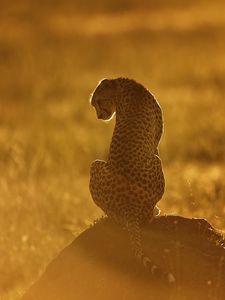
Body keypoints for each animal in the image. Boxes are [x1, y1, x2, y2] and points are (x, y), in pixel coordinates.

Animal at [89, 78, 175, 284]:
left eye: (98, 102)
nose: (99, 116)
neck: (121, 86)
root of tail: (129, 208)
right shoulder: (156, 144)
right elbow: (156, 145)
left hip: (95, 166)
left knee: (115, 218)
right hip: (154, 162)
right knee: (145, 218)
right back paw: (155, 212)